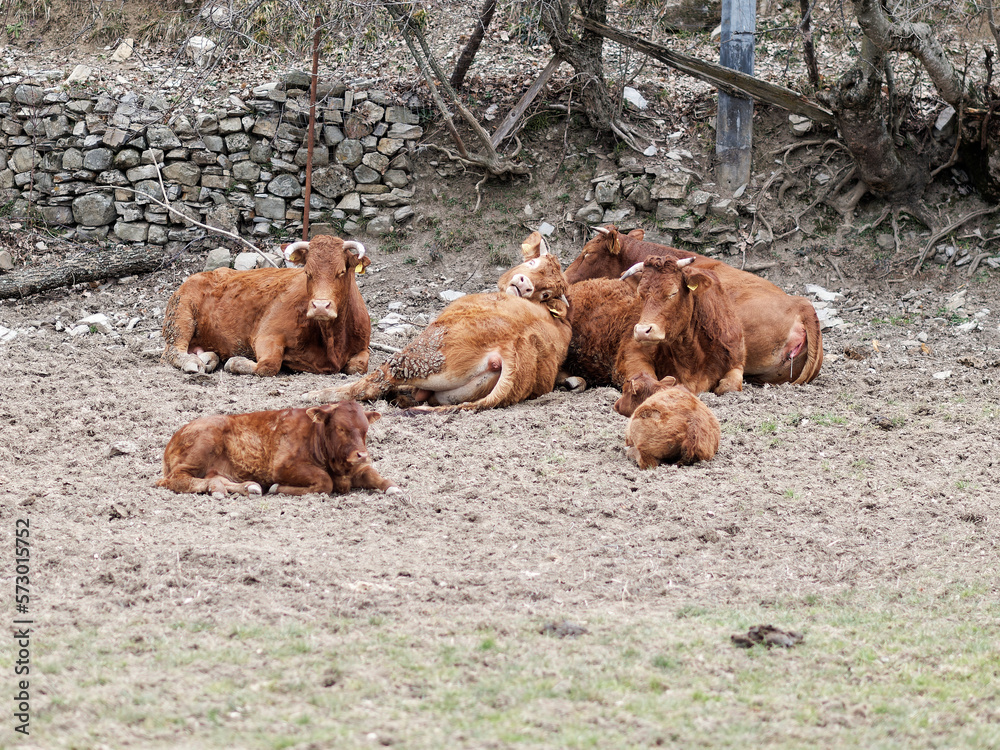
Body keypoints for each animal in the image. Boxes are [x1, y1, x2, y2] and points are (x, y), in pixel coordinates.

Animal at [157, 401, 400, 497]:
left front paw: (393, 487)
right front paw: (277, 488)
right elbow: (324, 482)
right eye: (341, 428)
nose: (361, 454)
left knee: (214, 477)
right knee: (176, 479)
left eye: (365, 430)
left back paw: (245, 487)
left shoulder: (356, 467)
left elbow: (374, 474)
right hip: (200, 448)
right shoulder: (282, 466)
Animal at [162, 235, 372, 377]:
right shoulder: (267, 334)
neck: (331, 342)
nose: (320, 306)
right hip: (181, 318)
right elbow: (268, 365)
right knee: (173, 351)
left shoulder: (363, 346)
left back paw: (207, 359)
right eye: (307, 272)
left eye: (341, 272)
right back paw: (193, 363)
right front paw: (235, 362)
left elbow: (358, 366)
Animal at [500, 237, 745, 401]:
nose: (642, 330)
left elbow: (730, 385)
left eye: (673, 292)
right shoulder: (631, 353)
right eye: (641, 294)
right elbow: (645, 379)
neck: (692, 355)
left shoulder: (736, 360)